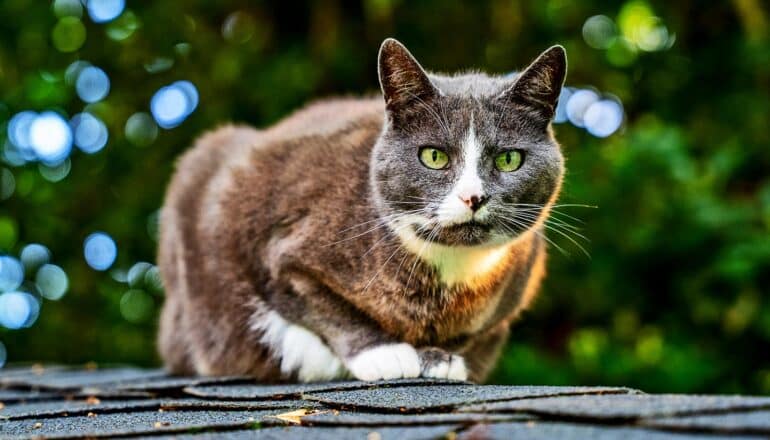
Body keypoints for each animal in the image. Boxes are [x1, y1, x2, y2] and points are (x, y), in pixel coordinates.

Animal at [158, 37, 564, 382]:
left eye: (509, 159)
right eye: (433, 156)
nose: (473, 197)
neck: (450, 271)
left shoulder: (514, 290)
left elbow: (470, 335)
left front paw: (442, 359)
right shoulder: (281, 249)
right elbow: (320, 305)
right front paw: (384, 354)